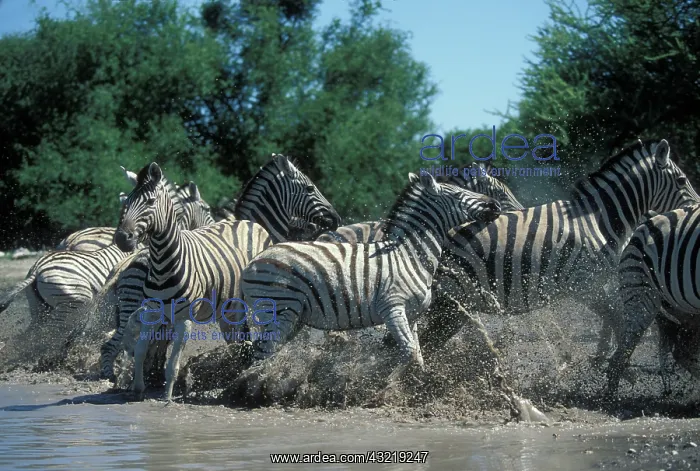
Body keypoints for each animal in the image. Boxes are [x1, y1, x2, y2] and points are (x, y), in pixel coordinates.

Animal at [236, 172, 502, 394]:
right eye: (458, 194)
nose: (496, 205)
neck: (409, 254)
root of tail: (253, 261)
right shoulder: (392, 309)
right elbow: (409, 352)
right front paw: (385, 388)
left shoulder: (412, 313)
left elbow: (417, 354)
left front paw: (418, 387)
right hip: (280, 310)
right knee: (265, 352)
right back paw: (254, 390)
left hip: (294, 316)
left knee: (262, 351)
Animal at [417, 139, 700, 365]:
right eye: (682, 180)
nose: (697, 207)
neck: (597, 220)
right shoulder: (584, 283)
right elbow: (616, 318)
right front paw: (614, 365)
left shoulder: (598, 281)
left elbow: (613, 319)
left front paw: (604, 358)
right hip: (451, 304)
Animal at [604, 203, 700, 401]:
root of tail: (648, 220)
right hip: (642, 295)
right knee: (623, 351)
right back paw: (610, 399)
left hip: (686, 310)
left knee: (683, 352)